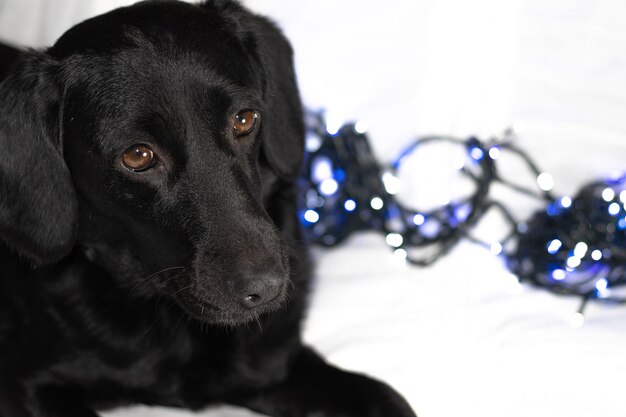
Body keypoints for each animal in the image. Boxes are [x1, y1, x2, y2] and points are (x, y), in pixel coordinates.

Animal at [1, 1, 420, 414]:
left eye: (245, 119)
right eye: (137, 156)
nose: (266, 289)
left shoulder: (273, 365)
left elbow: (384, 396)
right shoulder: (30, 384)